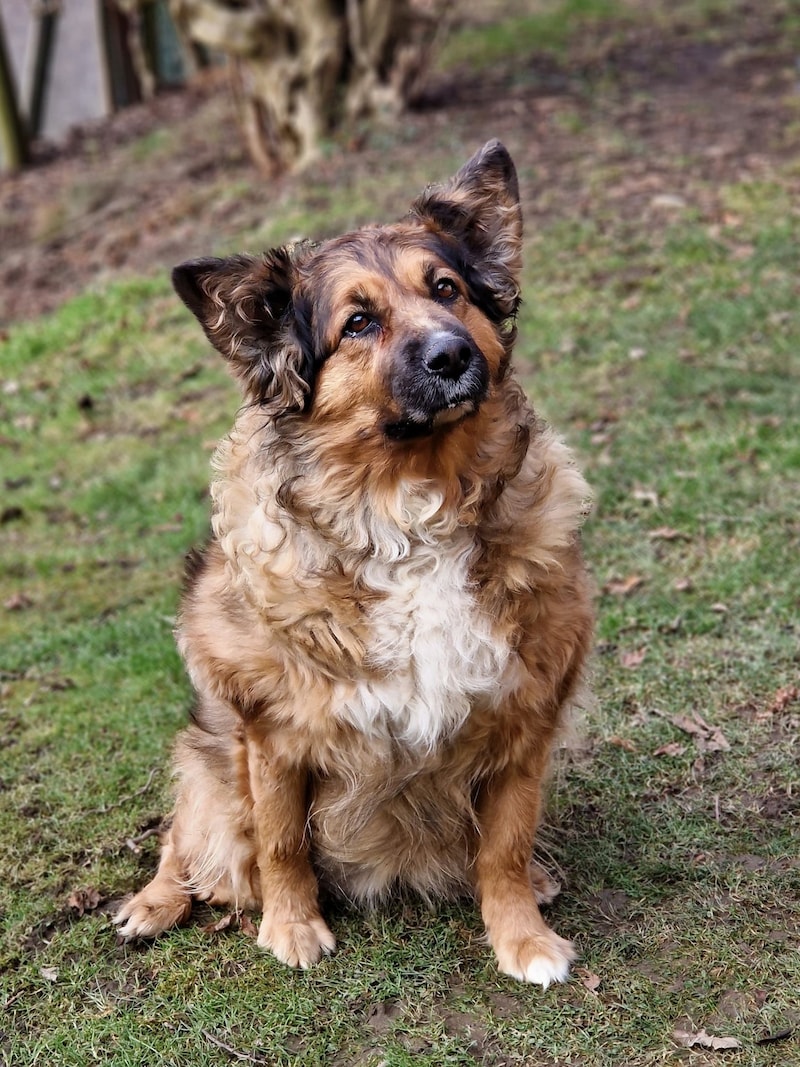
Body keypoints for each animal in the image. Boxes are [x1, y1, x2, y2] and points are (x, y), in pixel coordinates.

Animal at [117, 144, 597, 990]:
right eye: (359, 322)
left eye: (446, 290)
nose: (452, 355)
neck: (414, 504)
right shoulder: (271, 728)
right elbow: (280, 841)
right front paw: (290, 926)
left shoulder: (525, 713)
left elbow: (504, 844)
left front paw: (523, 934)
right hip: (212, 753)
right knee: (190, 835)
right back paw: (154, 901)